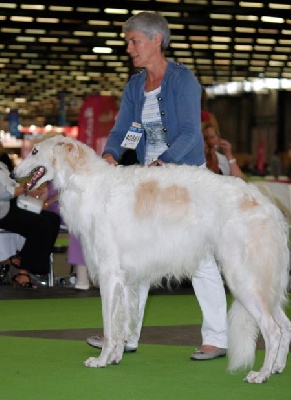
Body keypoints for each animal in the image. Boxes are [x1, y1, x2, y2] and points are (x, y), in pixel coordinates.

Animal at [13, 136, 291, 382]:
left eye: (34, 151)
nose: (14, 174)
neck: (87, 182)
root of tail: (265, 203)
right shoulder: (125, 279)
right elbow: (123, 323)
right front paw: (115, 357)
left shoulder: (109, 274)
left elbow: (109, 326)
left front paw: (101, 360)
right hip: (264, 283)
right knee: (286, 325)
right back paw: (277, 368)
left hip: (243, 278)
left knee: (273, 329)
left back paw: (261, 374)